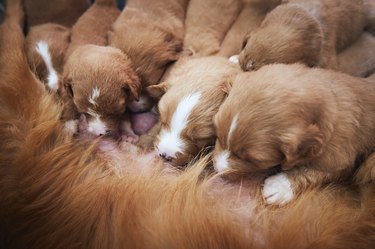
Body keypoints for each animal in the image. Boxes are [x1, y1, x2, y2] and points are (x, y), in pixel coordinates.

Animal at [213, 63, 375, 206]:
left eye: (252, 160)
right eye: (218, 135)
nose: (218, 170)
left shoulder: (340, 159)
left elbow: (314, 171)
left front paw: (279, 186)